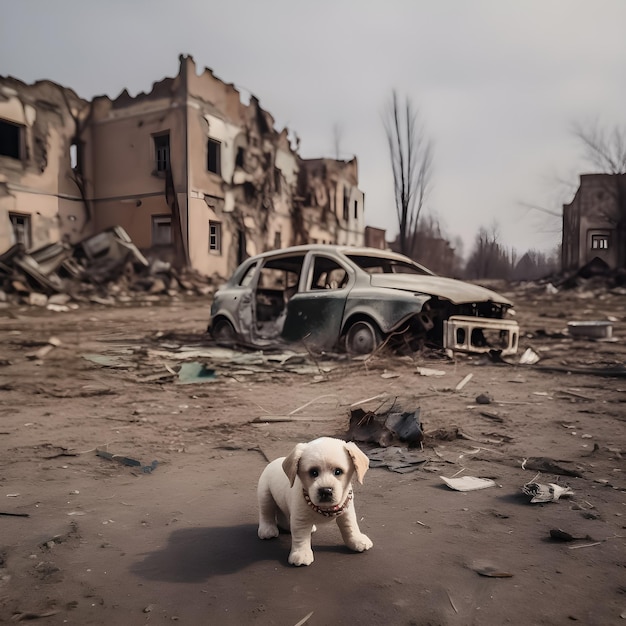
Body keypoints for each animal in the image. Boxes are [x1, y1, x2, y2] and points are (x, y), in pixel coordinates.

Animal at [258, 436, 372, 564]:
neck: (325, 509)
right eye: (313, 472)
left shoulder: (347, 511)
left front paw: (357, 540)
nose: (326, 491)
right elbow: (300, 536)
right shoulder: (300, 518)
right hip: (265, 495)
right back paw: (267, 530)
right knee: (266, 513)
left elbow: (350, 526)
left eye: (338, 471)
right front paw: (301, 554)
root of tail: (273, 461)